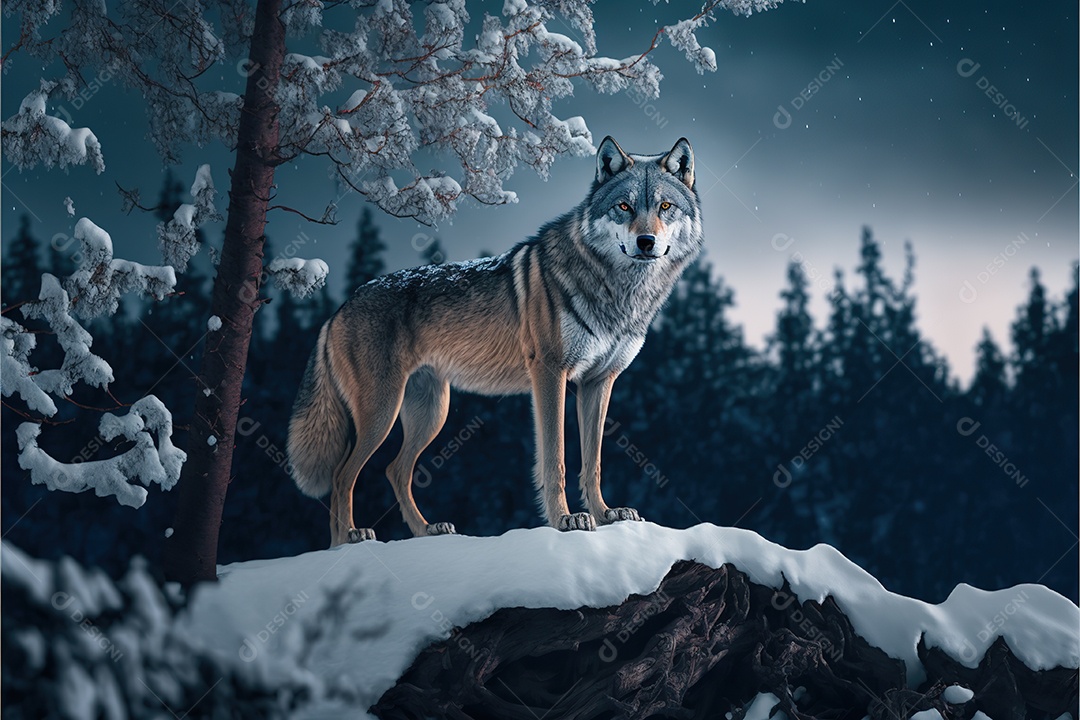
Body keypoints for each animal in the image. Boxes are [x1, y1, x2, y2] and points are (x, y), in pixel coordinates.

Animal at [287, 136, 704, 546]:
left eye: (665, 207)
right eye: (624, 206)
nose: (646, 241)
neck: (620, 293)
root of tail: (339, 308)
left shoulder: (599, 383)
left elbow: (593, 463)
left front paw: (605, 515)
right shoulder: (550, 374)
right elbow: (556, 457)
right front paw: (565, 520)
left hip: (431, 413)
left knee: (394, 470)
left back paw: (426, 531)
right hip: (383, 412)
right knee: (343, 475)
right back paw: (348, 541)